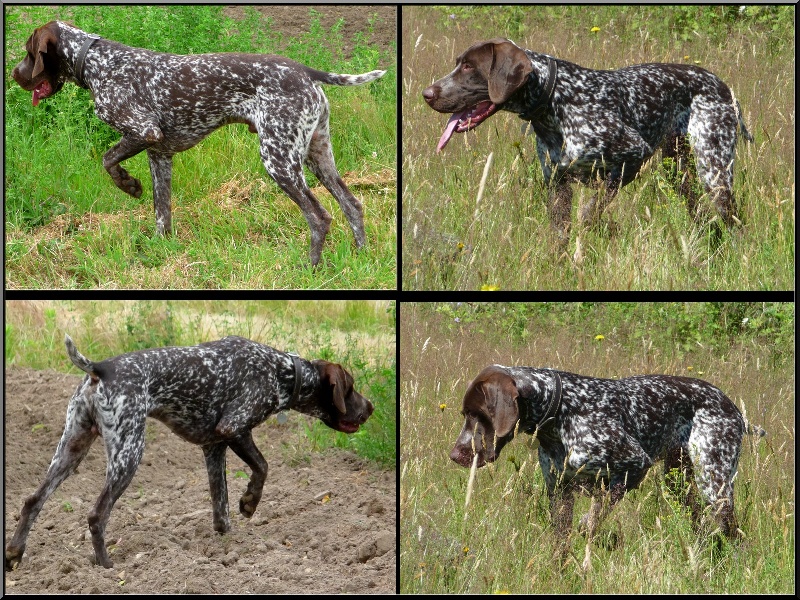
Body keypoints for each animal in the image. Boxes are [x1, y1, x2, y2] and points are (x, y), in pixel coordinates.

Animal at [6, 336, 376, 568]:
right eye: (352, 388)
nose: (371, 408)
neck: (282, 371)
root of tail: (101, 368)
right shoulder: (234, 428)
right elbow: (263, 467)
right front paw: (250, 502)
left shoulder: (213, 448)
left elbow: (220, 508)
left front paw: (229, 545)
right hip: (129, 452)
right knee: (97, 514)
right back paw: (106, 566)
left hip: (71, 449)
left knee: (32, 501)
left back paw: (14, 554)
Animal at [11, 21, 388, 264]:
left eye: (29, 53)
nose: (14, 74)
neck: (95, 60)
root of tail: (306, 72)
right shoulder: (159, 154)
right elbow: (162, 213)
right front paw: (160, 252)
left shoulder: (144, 132)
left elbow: (108, 160)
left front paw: (129, 185)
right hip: (317, 156)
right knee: (352, 205)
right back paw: (361, 258)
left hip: (279, 159)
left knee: (319, 216)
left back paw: (310, 268)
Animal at [422, 38, 752, 247]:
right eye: (458, 64)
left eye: (469, 67)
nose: (427, 94)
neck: (555, 101)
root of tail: (723, 86)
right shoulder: (557, 185)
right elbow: (560, 238)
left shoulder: (631, 157)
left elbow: (589, 213)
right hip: (679, 172)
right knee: (702, 216)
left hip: (714, 171)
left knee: (733, 222)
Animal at [454, 366, 760, 544]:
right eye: (465, 414)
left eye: (477, 414)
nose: (455, 455)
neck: (561, 411)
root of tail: (731, 405)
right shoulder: (559, 492)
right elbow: (561, 545)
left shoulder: (633, 467)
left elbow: (592, 519)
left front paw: (587, 527)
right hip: (679, 482)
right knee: (700, 524)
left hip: (714, 482)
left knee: (732, 531)